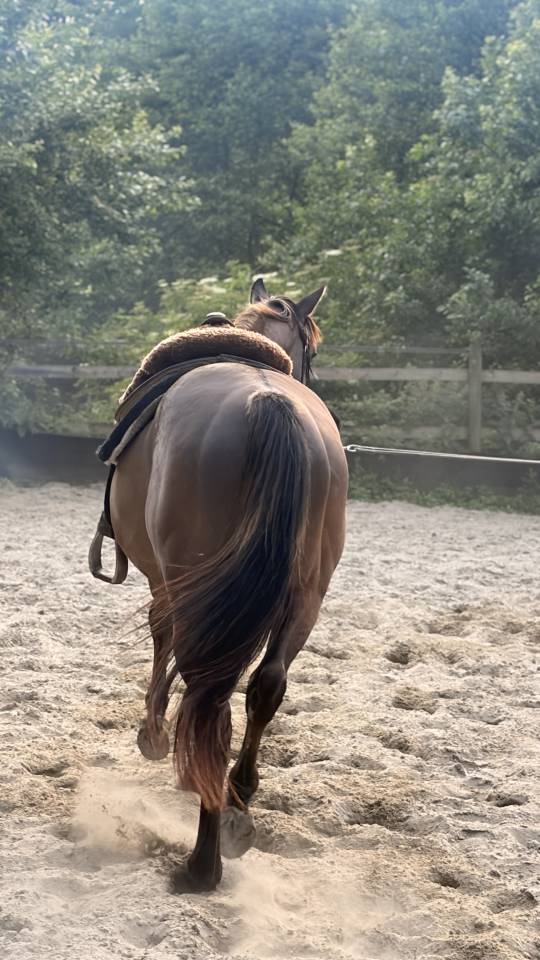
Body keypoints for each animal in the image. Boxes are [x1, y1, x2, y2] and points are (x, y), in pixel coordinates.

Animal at [108, 277, 348, 890]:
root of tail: (269, 402)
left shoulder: (167, 583)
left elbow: (160, 634)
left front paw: (152, 734)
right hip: (306, 596)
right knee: (266, 685)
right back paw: (238, 797)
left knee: (210, 697)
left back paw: (203, 856)